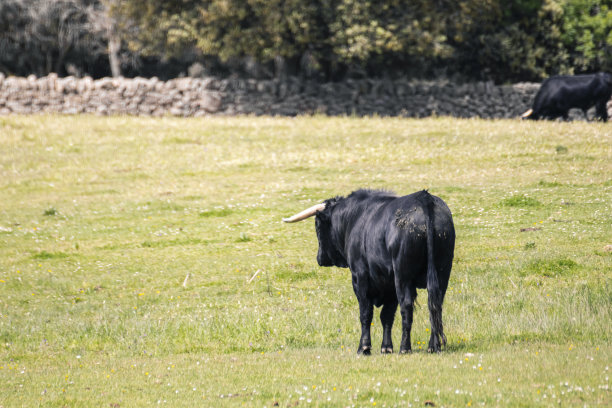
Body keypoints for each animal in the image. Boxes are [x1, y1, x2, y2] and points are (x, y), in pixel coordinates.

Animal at [284, 190, 454, 352]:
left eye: (317, 226)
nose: (320, 258)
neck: (354, 217)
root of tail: (424, 198)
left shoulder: (360, 277)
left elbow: (366, 312)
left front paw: (364, 347)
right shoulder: (388, 284)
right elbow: (387, 316)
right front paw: (386, 347)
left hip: (402, 275)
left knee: (406, 305)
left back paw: (405, 348)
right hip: (442, 272)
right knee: (435, 305)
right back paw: (433, 346)